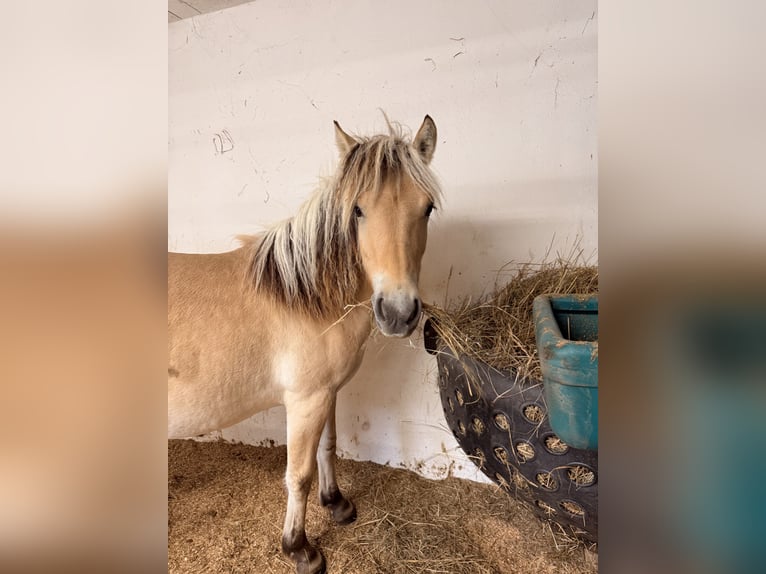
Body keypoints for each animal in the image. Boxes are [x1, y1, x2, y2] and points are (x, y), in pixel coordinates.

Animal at [168, 116, 441, 574]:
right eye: (358, 209)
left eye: (427, 208)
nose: (398, 312)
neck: (306, 298)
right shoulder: (305, 400)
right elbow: (298, 474)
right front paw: (299, 548)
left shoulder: (327, 393)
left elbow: (327, 449)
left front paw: (337, 504)